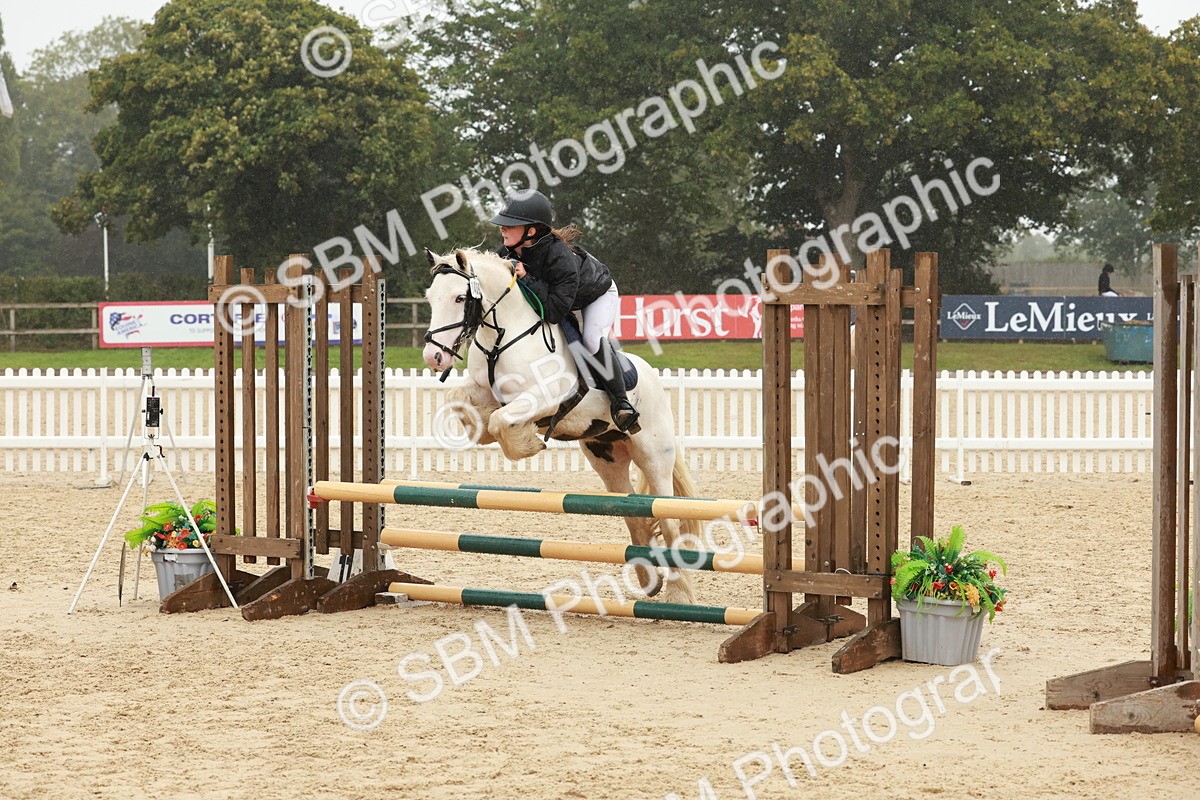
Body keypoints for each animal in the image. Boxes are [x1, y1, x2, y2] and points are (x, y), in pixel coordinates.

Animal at [421, 246, 699, 604]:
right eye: (430, 298)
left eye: (459, 298)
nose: (433, 357)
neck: (504, 335)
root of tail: (653, 378)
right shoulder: (486, 390)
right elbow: (461, 399)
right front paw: (480, 433)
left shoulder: (549, 397)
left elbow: (501, 420)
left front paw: (526, 443)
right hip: (606, 457)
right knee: (633, 511)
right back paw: (647, 577)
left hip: (653, 455)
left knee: (667, 518)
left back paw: (678, 593)